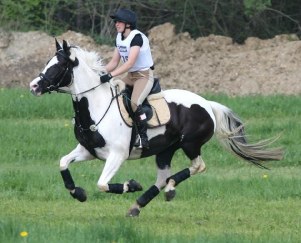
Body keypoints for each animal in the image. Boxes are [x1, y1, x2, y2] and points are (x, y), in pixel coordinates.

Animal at [29, 39, 282, 216]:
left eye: (59, 65)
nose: (33, 86)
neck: (96, 107)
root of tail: (207, 104)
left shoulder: (117, 155)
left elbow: (102, 184)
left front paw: (131, 184)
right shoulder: (88, 151)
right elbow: (63, 163)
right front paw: (79, 193)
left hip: (190, 144)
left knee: (197, 166)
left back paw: (168, 189)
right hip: (165, 150)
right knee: (162, 177)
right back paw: (138, 205)